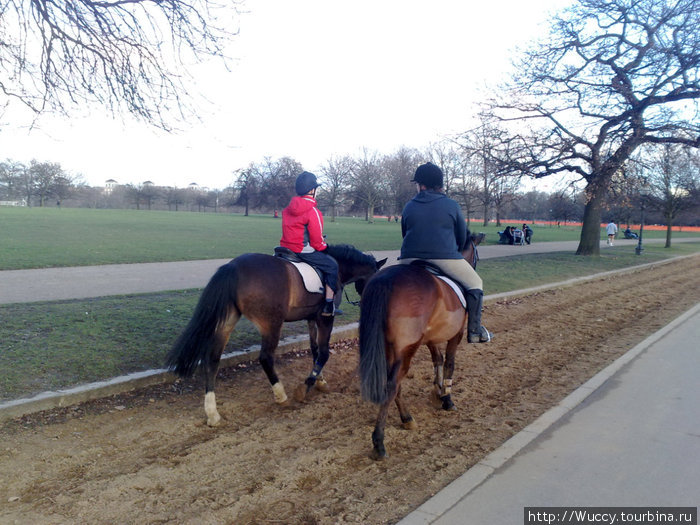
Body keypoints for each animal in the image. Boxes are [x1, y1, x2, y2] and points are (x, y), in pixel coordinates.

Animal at [167, 244, 386, 428]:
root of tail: (234, 267)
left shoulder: (311, 318)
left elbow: (315, 351)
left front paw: (319, 380)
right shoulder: (325, 318)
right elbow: (323, 353)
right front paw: (307, 385)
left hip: (226, 322)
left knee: (212, 360)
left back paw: (212, 413)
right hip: (271, 324)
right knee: (266, 358)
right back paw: (281, 394)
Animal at [358, 233, 484, 458]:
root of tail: (386, 279)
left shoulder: (430, 339)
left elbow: (438, 360)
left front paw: (438, 391)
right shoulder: (456, 335)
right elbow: (450, 363)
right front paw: (447, 399)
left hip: (391, 349)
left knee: (394, 384)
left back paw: (407, 419)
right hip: (406, 349)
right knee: (392, 385)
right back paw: (379, 441)